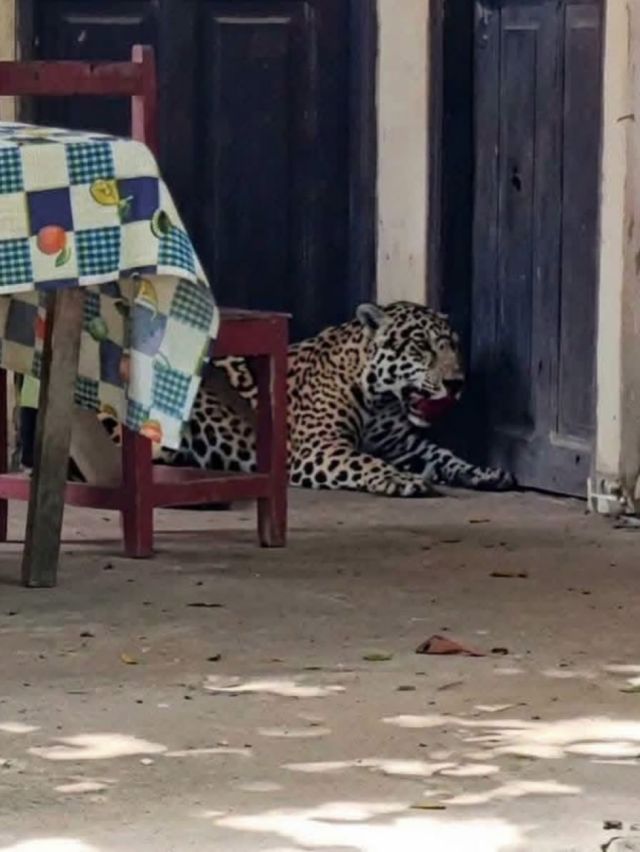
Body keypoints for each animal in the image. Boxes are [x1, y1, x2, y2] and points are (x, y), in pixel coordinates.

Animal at [99, 300, 514, 498]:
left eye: (453, 346)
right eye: (421, 346)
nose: (457, 383)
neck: (381, 401)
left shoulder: (404, 445)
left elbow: (445, 455)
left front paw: (485, 473)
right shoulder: (320, 447)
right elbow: (366, 461)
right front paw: (402, 479)